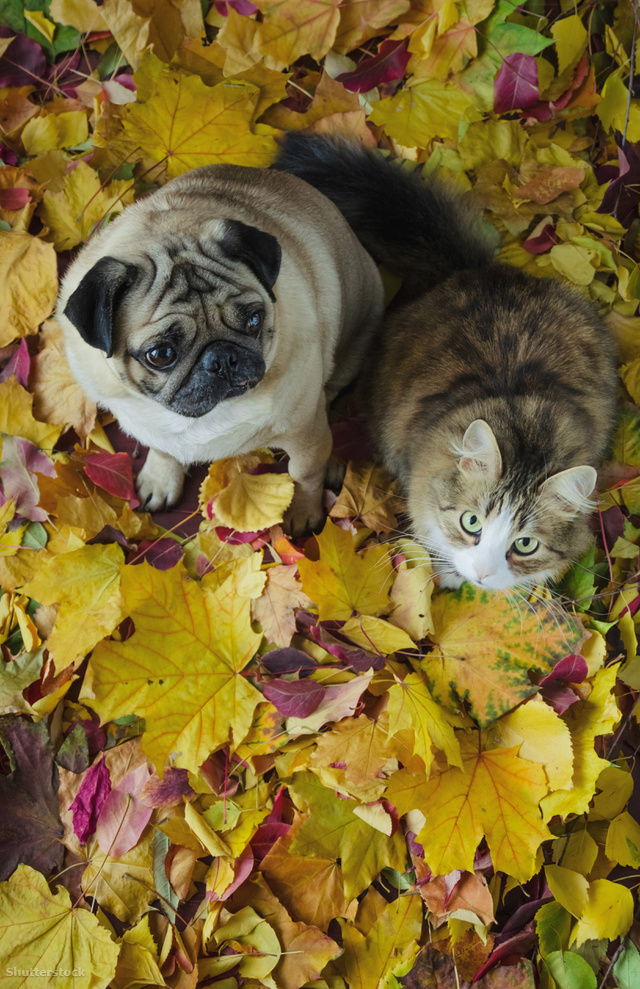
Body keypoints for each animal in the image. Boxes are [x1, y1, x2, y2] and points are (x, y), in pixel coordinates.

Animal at [57, 164, 382, 532]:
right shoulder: (152, 427)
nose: (223, 358)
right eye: (161, 354)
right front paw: (160, 478)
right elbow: (163, 448)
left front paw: (302, 510)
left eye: (254, 320)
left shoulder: (304, 433)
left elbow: (304, 473)